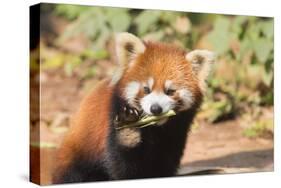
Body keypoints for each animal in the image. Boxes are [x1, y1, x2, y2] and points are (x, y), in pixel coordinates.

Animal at [52, 32, 214, 184]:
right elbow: (122, 167)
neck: (155, 129)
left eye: (170, 91)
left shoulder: (176, 133)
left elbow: (165, 162)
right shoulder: (113, 117)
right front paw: (128, 130)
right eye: (146, 89)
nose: (156, 109)